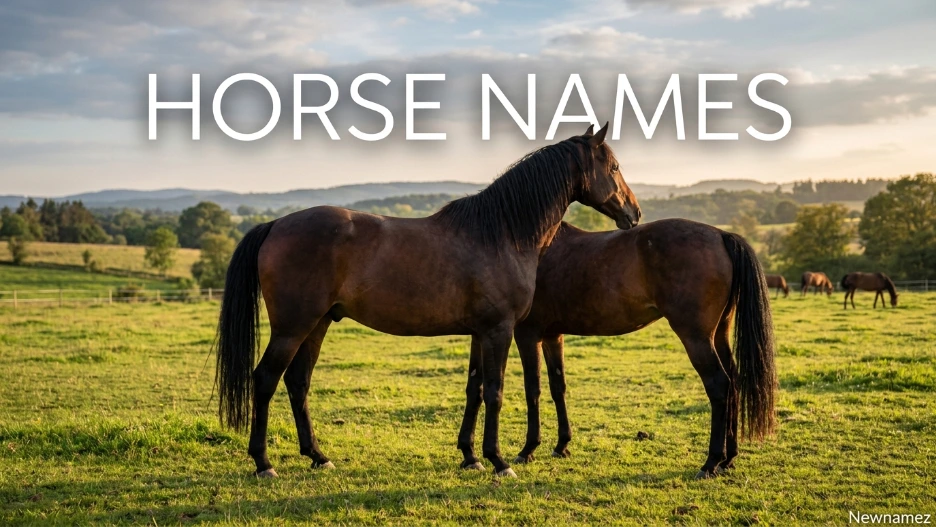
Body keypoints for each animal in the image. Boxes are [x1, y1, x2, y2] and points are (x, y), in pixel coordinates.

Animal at [214, 123, 642, 478]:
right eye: (614, 166)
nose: (634, 213)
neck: (501, 233)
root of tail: (275, 225)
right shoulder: (499, 330)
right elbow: (496, 391)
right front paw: (499, 461)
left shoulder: (479, 333)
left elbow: (474, 389)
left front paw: (470, 456)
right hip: (292, 327)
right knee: (265, 380)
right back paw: (263, 463)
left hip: (316, 325)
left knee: (298, 382)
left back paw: (318, 456)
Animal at [493, 220, 776, 479]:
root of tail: (721, 235)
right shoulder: (553, 336)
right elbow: (557, 387)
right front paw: (562, 445)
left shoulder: (528, 334)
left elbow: (533, 390)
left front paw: (528, 449)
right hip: (719, 334)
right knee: (734, 382)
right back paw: (728, 459)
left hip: (697, 338)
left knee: (719, 385)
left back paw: (710, 463)